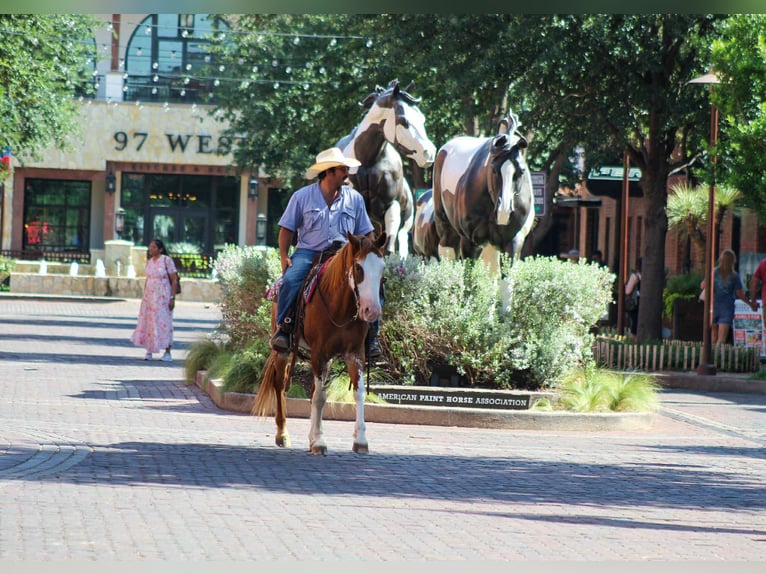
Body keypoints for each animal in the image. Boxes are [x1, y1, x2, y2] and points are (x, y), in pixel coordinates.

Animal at [252, 232, 388, 455]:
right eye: (359, 268)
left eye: (382, 269)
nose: (372, 311)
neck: (339, 307)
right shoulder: (319, 353)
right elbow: (320, 397)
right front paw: (319, 441)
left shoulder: (355, 353)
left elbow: (357, 393)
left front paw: (360, 440)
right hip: (283, 351)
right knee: (280, 384)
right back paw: (282, 434)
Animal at [336, 80, 436, 258]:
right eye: (403, 121)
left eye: (422, 118)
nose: (429, 153)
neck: (367, 162)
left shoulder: (391, 205)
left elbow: (388, 248)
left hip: (404, 225)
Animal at [432, 111, 535, 266]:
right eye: (493, 169)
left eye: (522, 171)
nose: (504, 212)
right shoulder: (471, 241)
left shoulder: (513, 241)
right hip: (446, 231)